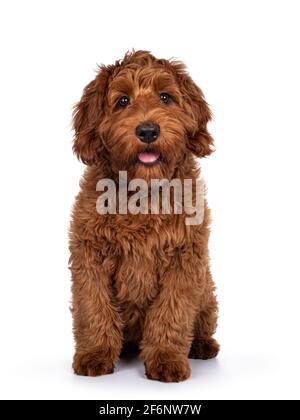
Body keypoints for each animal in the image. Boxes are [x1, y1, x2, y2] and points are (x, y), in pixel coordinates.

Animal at [70, 50, 220, 382]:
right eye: (122, 101)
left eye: (166, 97)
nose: (148, 131)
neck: (143, 190)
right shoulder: (90, 255)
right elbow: (93, 307)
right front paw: (95, 353)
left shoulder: (184, 260)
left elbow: (171, 313)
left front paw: (165, 358)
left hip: (206, 291)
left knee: (204, 320)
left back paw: (202, 345)